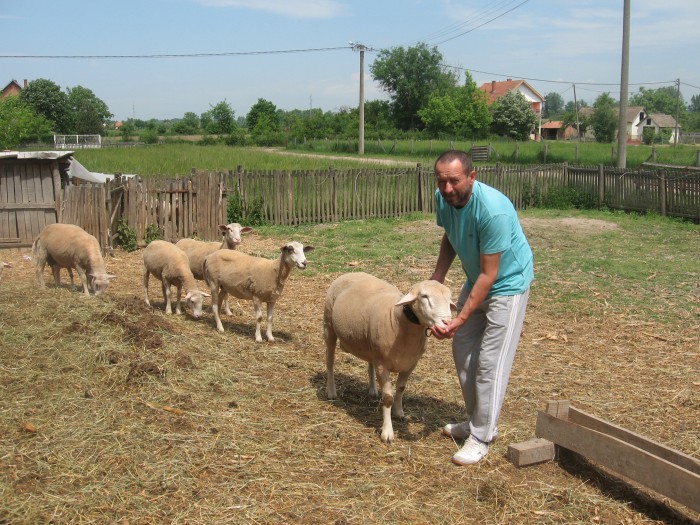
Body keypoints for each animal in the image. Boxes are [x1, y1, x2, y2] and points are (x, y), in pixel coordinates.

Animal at [322, 272, 454, 444]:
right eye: (424, 296)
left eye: (450, 299)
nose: (447, 323)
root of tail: (351, 273)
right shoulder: (382, 365)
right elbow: (387, 398)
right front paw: (387, 432)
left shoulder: (410, 364)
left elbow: (401, 388)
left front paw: (398, 412)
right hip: (329, 325)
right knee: (330, 361)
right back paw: (331, 391)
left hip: (370, 344)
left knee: (369, 364)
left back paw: (372, 390)